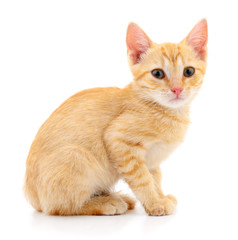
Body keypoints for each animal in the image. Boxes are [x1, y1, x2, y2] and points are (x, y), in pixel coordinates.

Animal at [23, 19, 207, 217]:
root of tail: (32, 196)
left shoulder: (151, 159)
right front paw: (154, 203)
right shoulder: (118, 140)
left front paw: (160, 196)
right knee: (60, 206)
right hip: (75, 155)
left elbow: (155, 177)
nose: (177, 89)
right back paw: (105, 203)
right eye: (157, 73)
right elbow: (143, 179)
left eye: (188, 71)